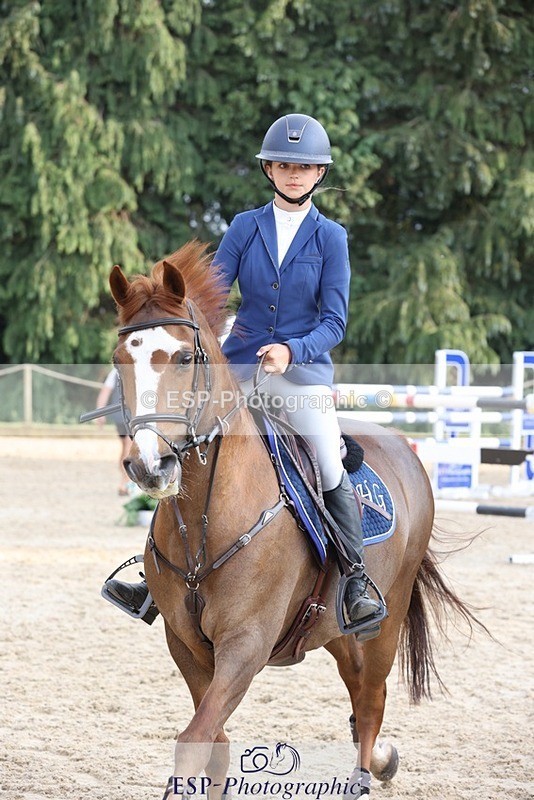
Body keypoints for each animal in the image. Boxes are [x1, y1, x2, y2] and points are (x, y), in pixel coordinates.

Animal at [106, 240, 478, 797]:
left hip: (386, 616)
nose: (151, 465)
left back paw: (365, 773)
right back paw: (380, 760)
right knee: (357, 688)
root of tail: (404, 449)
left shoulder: (246, 643)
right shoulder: (187, 644)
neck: (206, 519)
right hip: (334, 628)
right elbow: (213, 739)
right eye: (118, 360)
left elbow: (195, 738)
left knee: (371, 696)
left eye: (185, 357)